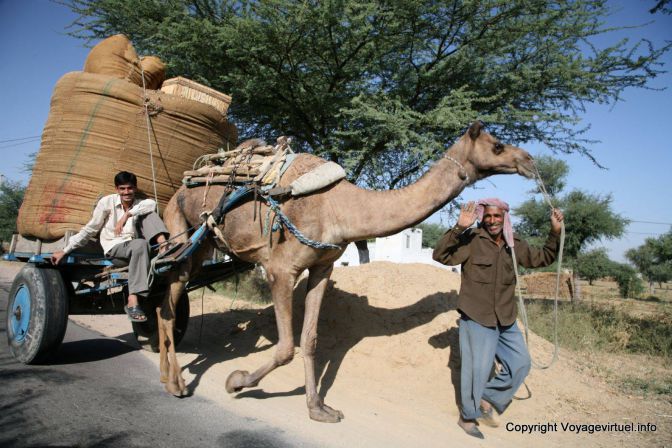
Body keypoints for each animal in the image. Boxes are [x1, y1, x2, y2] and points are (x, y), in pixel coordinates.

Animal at [156, 120, 536, 422]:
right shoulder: (280, 269)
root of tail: (184, 183)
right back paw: (175, 381)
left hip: (203, 242)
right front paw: (236, 381)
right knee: (168, 292)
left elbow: (310, 340)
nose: (530, 161)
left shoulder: (322, 267)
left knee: (172, 290)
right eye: (497, 145)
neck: (340, 207)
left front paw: (318, 408)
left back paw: (165, 374)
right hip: (179, 224)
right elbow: (286, 346)